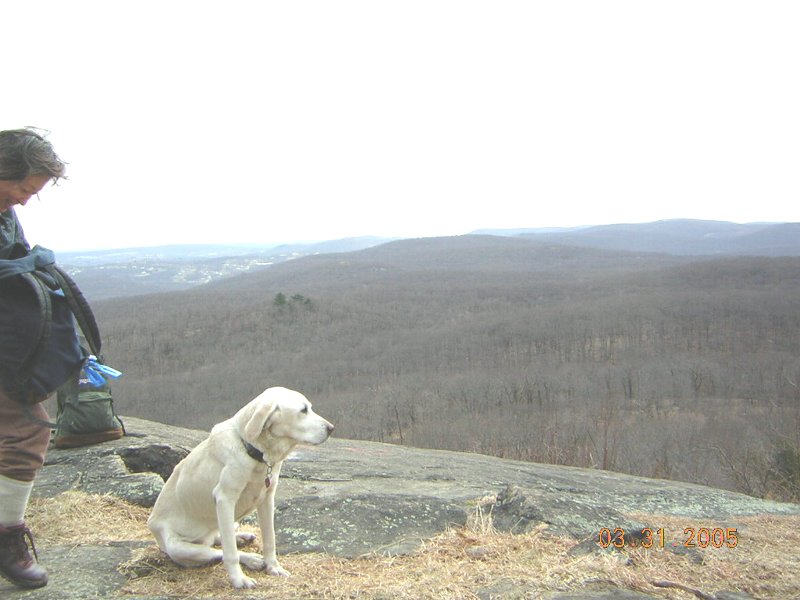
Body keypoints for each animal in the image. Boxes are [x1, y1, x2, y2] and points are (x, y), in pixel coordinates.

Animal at [147, 386, 334, 588]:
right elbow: (230, 552)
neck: (253, 451)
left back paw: (242, 537)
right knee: (218, 550)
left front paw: (273, 567)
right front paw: (239, 579)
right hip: (177, 547)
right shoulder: (225, 499)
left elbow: (270, 539)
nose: (331, 428)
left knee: (218, 537)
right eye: (303, 410)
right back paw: (251, 558)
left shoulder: (267, 499)